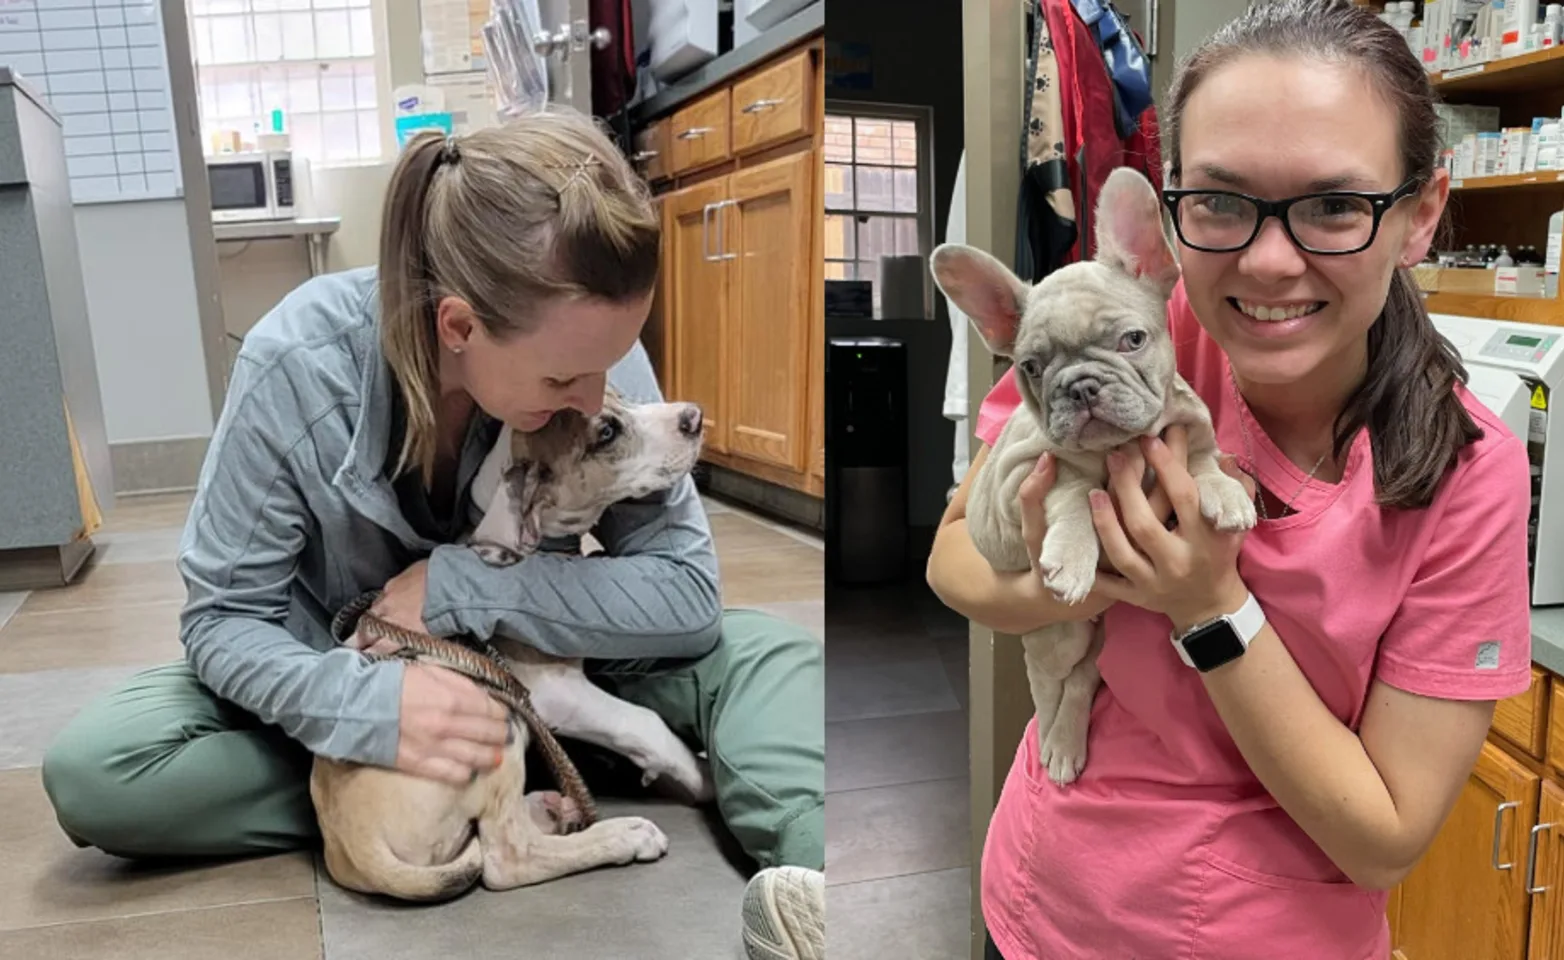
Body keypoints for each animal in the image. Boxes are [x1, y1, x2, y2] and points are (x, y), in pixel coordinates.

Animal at [311, 390, 716, 900]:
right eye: (606, 432)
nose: (694, 417)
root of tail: (353, 845)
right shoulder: (556, 694)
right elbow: (646, 724)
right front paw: (703, 778)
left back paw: (554, 810)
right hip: (493, 720)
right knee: (506, 859)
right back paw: (623, 834)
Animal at [925, 167, 1257, 791]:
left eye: (1133, 340)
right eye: (1031, 367)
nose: (1079, 385)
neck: (1122, 447)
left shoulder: (1192, 427)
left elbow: (1202, 461)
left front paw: (1225, 493)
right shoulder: (1023, 476)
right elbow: (1078, 491)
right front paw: (1073, 554)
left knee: (1084, 676)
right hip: (1057, 632)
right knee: (1051, 681)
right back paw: (1054, 743)